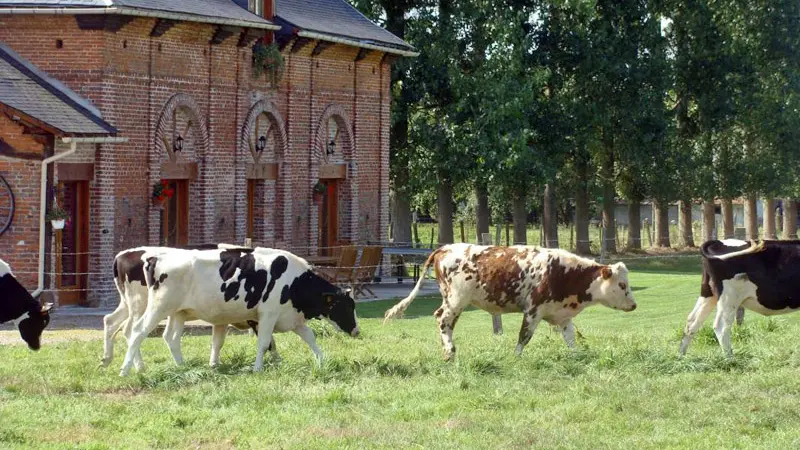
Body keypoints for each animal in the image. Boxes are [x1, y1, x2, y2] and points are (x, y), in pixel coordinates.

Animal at [118, 248, 356, 374]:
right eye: (346, 306)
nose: (356, 331)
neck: (295, 281)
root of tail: (155, 257)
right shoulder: (267, 314)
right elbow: (265, 343)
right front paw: (258, 368)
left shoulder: (293, 318)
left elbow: (310, 338)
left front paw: (323, 360)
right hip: (157, 308)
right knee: (137, 332)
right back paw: (126, 369)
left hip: (177, 312)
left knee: (171, 338)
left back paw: (183, 367)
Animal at [382, 244, 636, 360]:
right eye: (623, 285)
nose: (634, 306)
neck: (564, 272)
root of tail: (446, 247)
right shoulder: (533, 311)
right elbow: (524, 336)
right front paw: (516, 358)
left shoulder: (562, 315)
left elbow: (570, 339)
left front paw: (577, 356)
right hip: (457, 301)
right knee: (444, 322)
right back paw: (451, 352)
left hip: (450, 299)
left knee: (440, 317)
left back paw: (446, 351)